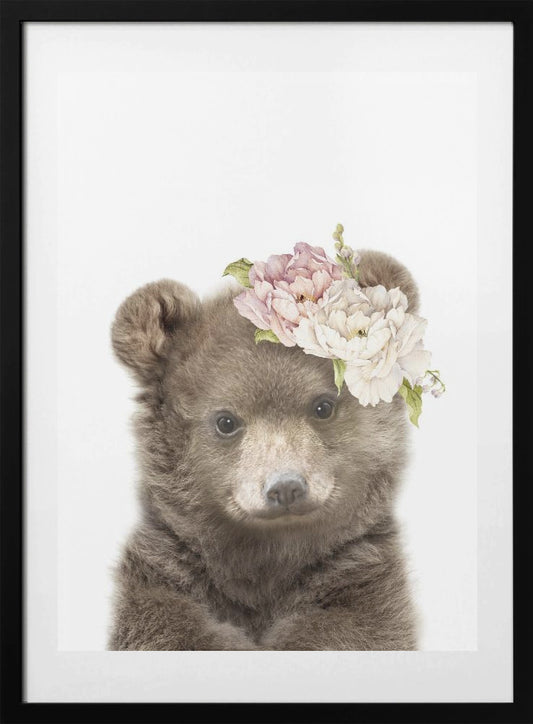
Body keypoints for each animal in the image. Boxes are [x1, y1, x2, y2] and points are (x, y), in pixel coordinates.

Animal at [108, 250, 420, 651]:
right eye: (226, 421)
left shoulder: (360, 578)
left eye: (323, 406)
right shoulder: (166, 573)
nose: (285, 487)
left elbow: (353, 630)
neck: (267, 560)